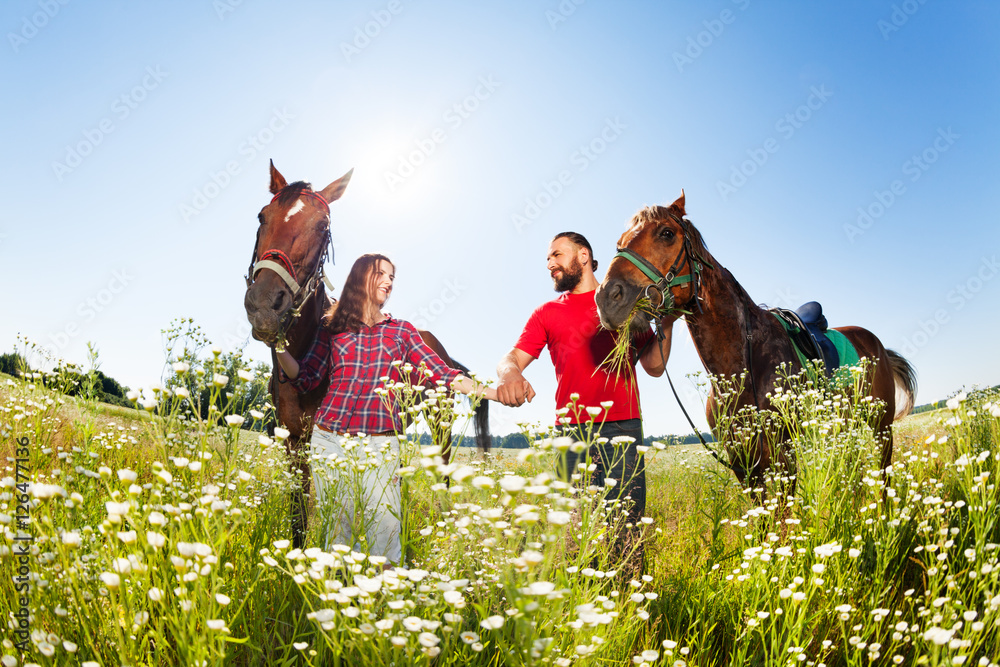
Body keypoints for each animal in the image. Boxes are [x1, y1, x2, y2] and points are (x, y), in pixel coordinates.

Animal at [244, 163, 490, 548]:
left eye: (323, 226)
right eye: (262, 216)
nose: (266, 305)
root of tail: (444, 354)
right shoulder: (293, 441)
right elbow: (299, 517)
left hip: (441, 422)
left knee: (444, 475)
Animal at [592, 193, 916, 490]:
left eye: (666, 233)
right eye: (620, 242)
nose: (608, 298)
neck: (741, 365)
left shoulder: (783, 457)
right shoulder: (744, 463)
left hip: (881, 429)